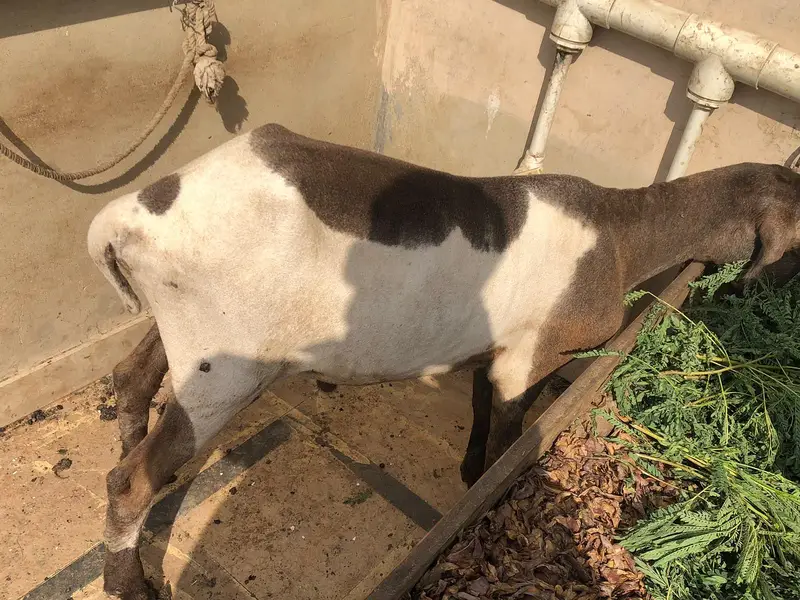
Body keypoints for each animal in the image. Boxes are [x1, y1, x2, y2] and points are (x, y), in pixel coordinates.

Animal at [87, 122, 800, 599]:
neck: (620, 236)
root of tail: (123, 220)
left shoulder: (497, 347)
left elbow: (485, 405)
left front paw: (468, 472)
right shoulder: (532, 353)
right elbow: (514, 431)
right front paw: (489, 488)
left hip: (181, 332)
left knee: (132, 382)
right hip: (226, 364)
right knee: (130, 480)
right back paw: (131, 582)